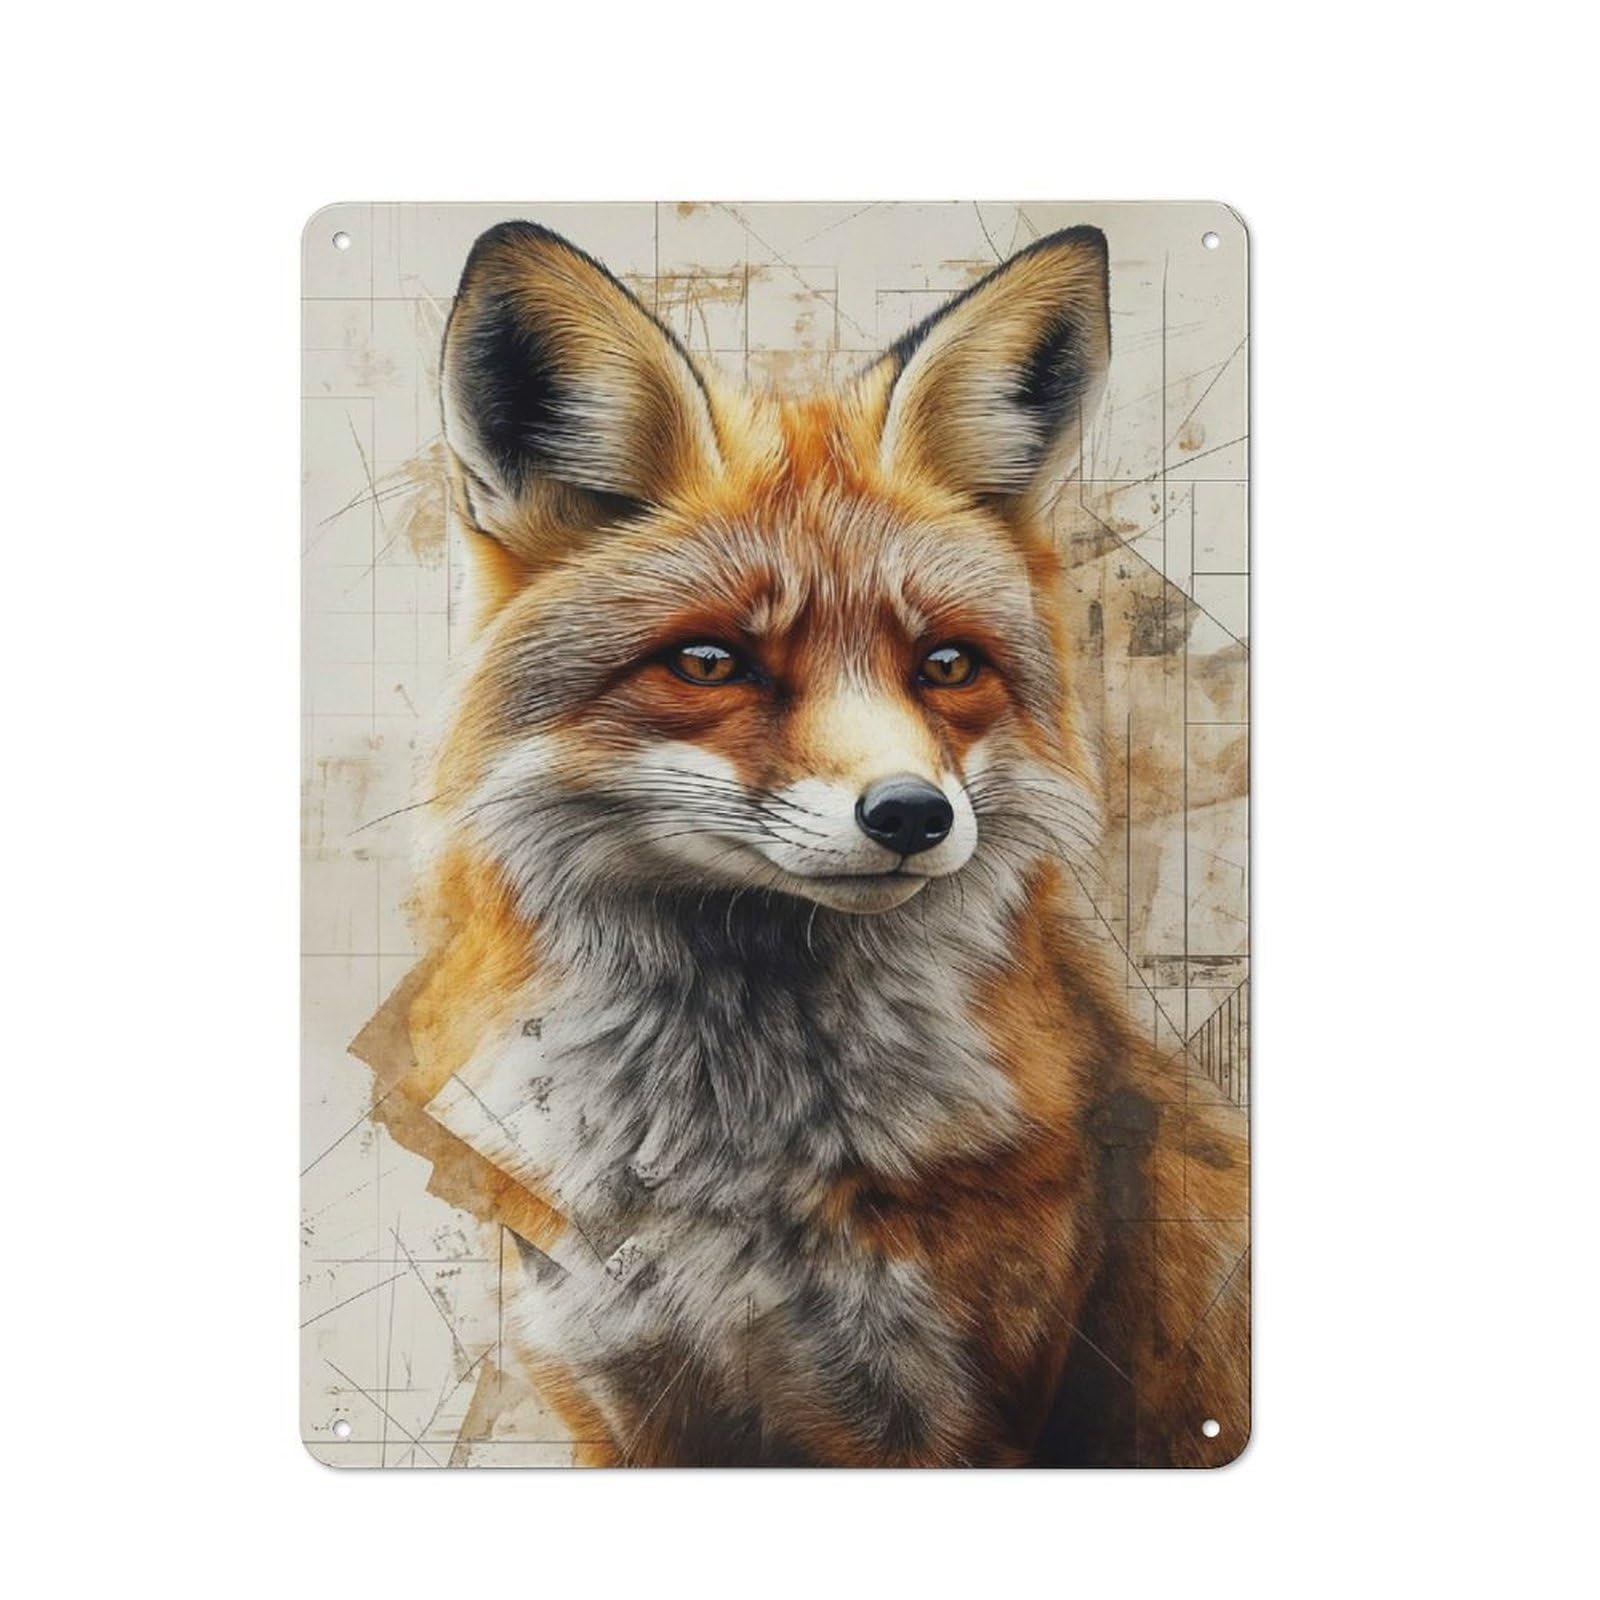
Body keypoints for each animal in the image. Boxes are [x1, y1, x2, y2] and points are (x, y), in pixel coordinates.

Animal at [361, 218, 1249, 1467]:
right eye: (709, 662)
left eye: (946, 664)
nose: (914, 816)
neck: (724, 1178)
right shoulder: (623, 1405)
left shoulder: (942, 1419)